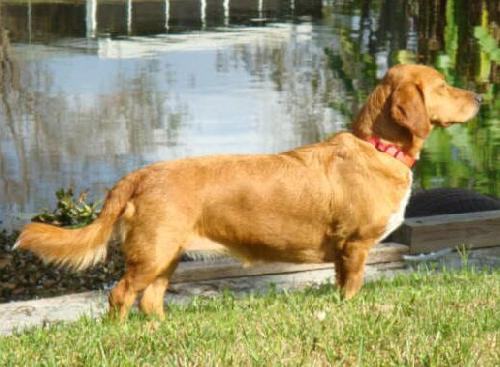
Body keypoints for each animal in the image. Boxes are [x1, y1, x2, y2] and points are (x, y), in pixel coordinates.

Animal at [16, 64, 480, 320]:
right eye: (441, 85)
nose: (478, 95)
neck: (377, 147)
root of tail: (141, 174)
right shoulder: (355, 247)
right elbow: (351, 290)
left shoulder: (343, 254)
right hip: (152, 254)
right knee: (119, 295)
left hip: (166, 257)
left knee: (150, 302)